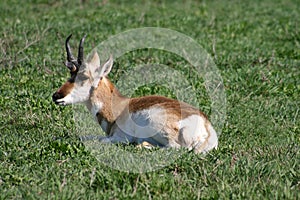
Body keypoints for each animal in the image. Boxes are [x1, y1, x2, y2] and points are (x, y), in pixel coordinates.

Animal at [52, 34, 218, 153]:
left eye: (84, 76)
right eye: (71, 74)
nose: (56, 96)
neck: (119, 107)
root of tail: (206, 125)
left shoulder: (118, 137)